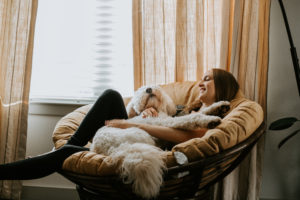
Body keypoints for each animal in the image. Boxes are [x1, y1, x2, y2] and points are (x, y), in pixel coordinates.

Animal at [90, 85, 229, 198]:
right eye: (140, 90)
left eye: (154, 85)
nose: (148, 89)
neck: (154, 110)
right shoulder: (167, 123)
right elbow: (192, 117)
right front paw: (210, 120)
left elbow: (201, 111)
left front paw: (220, 106)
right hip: (143, 136)